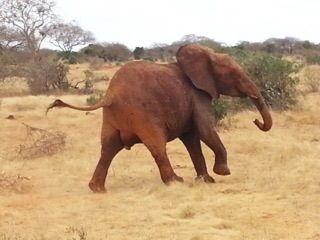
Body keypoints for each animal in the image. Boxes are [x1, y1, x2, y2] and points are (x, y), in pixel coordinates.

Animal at [47, 43, 272, 193]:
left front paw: (207, 180)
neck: (206, 55)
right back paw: (175, 181)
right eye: (236, 75)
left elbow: (192, 139)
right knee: (156, 146)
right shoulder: (198, 95)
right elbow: (205, 131)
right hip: (143, 115)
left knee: (108, 148)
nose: (256, 121)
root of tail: (111, 94)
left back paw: (97, 189)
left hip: (112, 118)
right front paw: (223, 173)